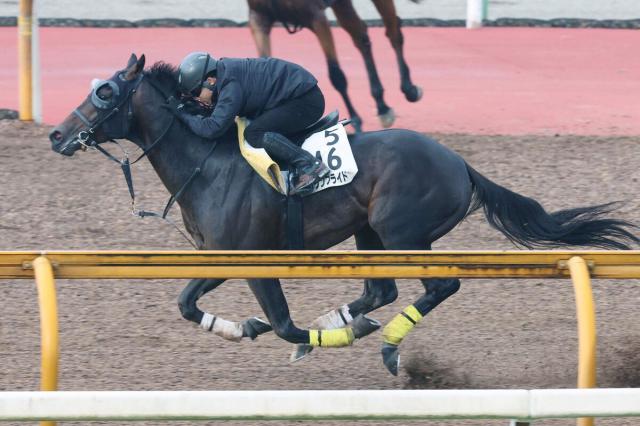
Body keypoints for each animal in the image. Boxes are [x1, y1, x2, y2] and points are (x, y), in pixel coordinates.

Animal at [47, 55, 636, 374]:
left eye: (106, 93)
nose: (55, 134)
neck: (206, 163)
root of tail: (459, 163)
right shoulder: (218, 257)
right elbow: (187, 305)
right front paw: (246, 327)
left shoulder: (251, 258)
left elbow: (285, 326)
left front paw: (290, 336)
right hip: (370, 233)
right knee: (382, 291)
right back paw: (347, 321)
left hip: (402, 233)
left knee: (438, 287)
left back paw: (389, 346)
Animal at [248, 0, 422, 131]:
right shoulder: (259, 17)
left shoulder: (316, 17)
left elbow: (336, 75)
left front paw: (355, 120)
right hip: (342, 4)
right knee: (361, 37)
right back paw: (381, 104)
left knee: (393, 33)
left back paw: (408, 89)